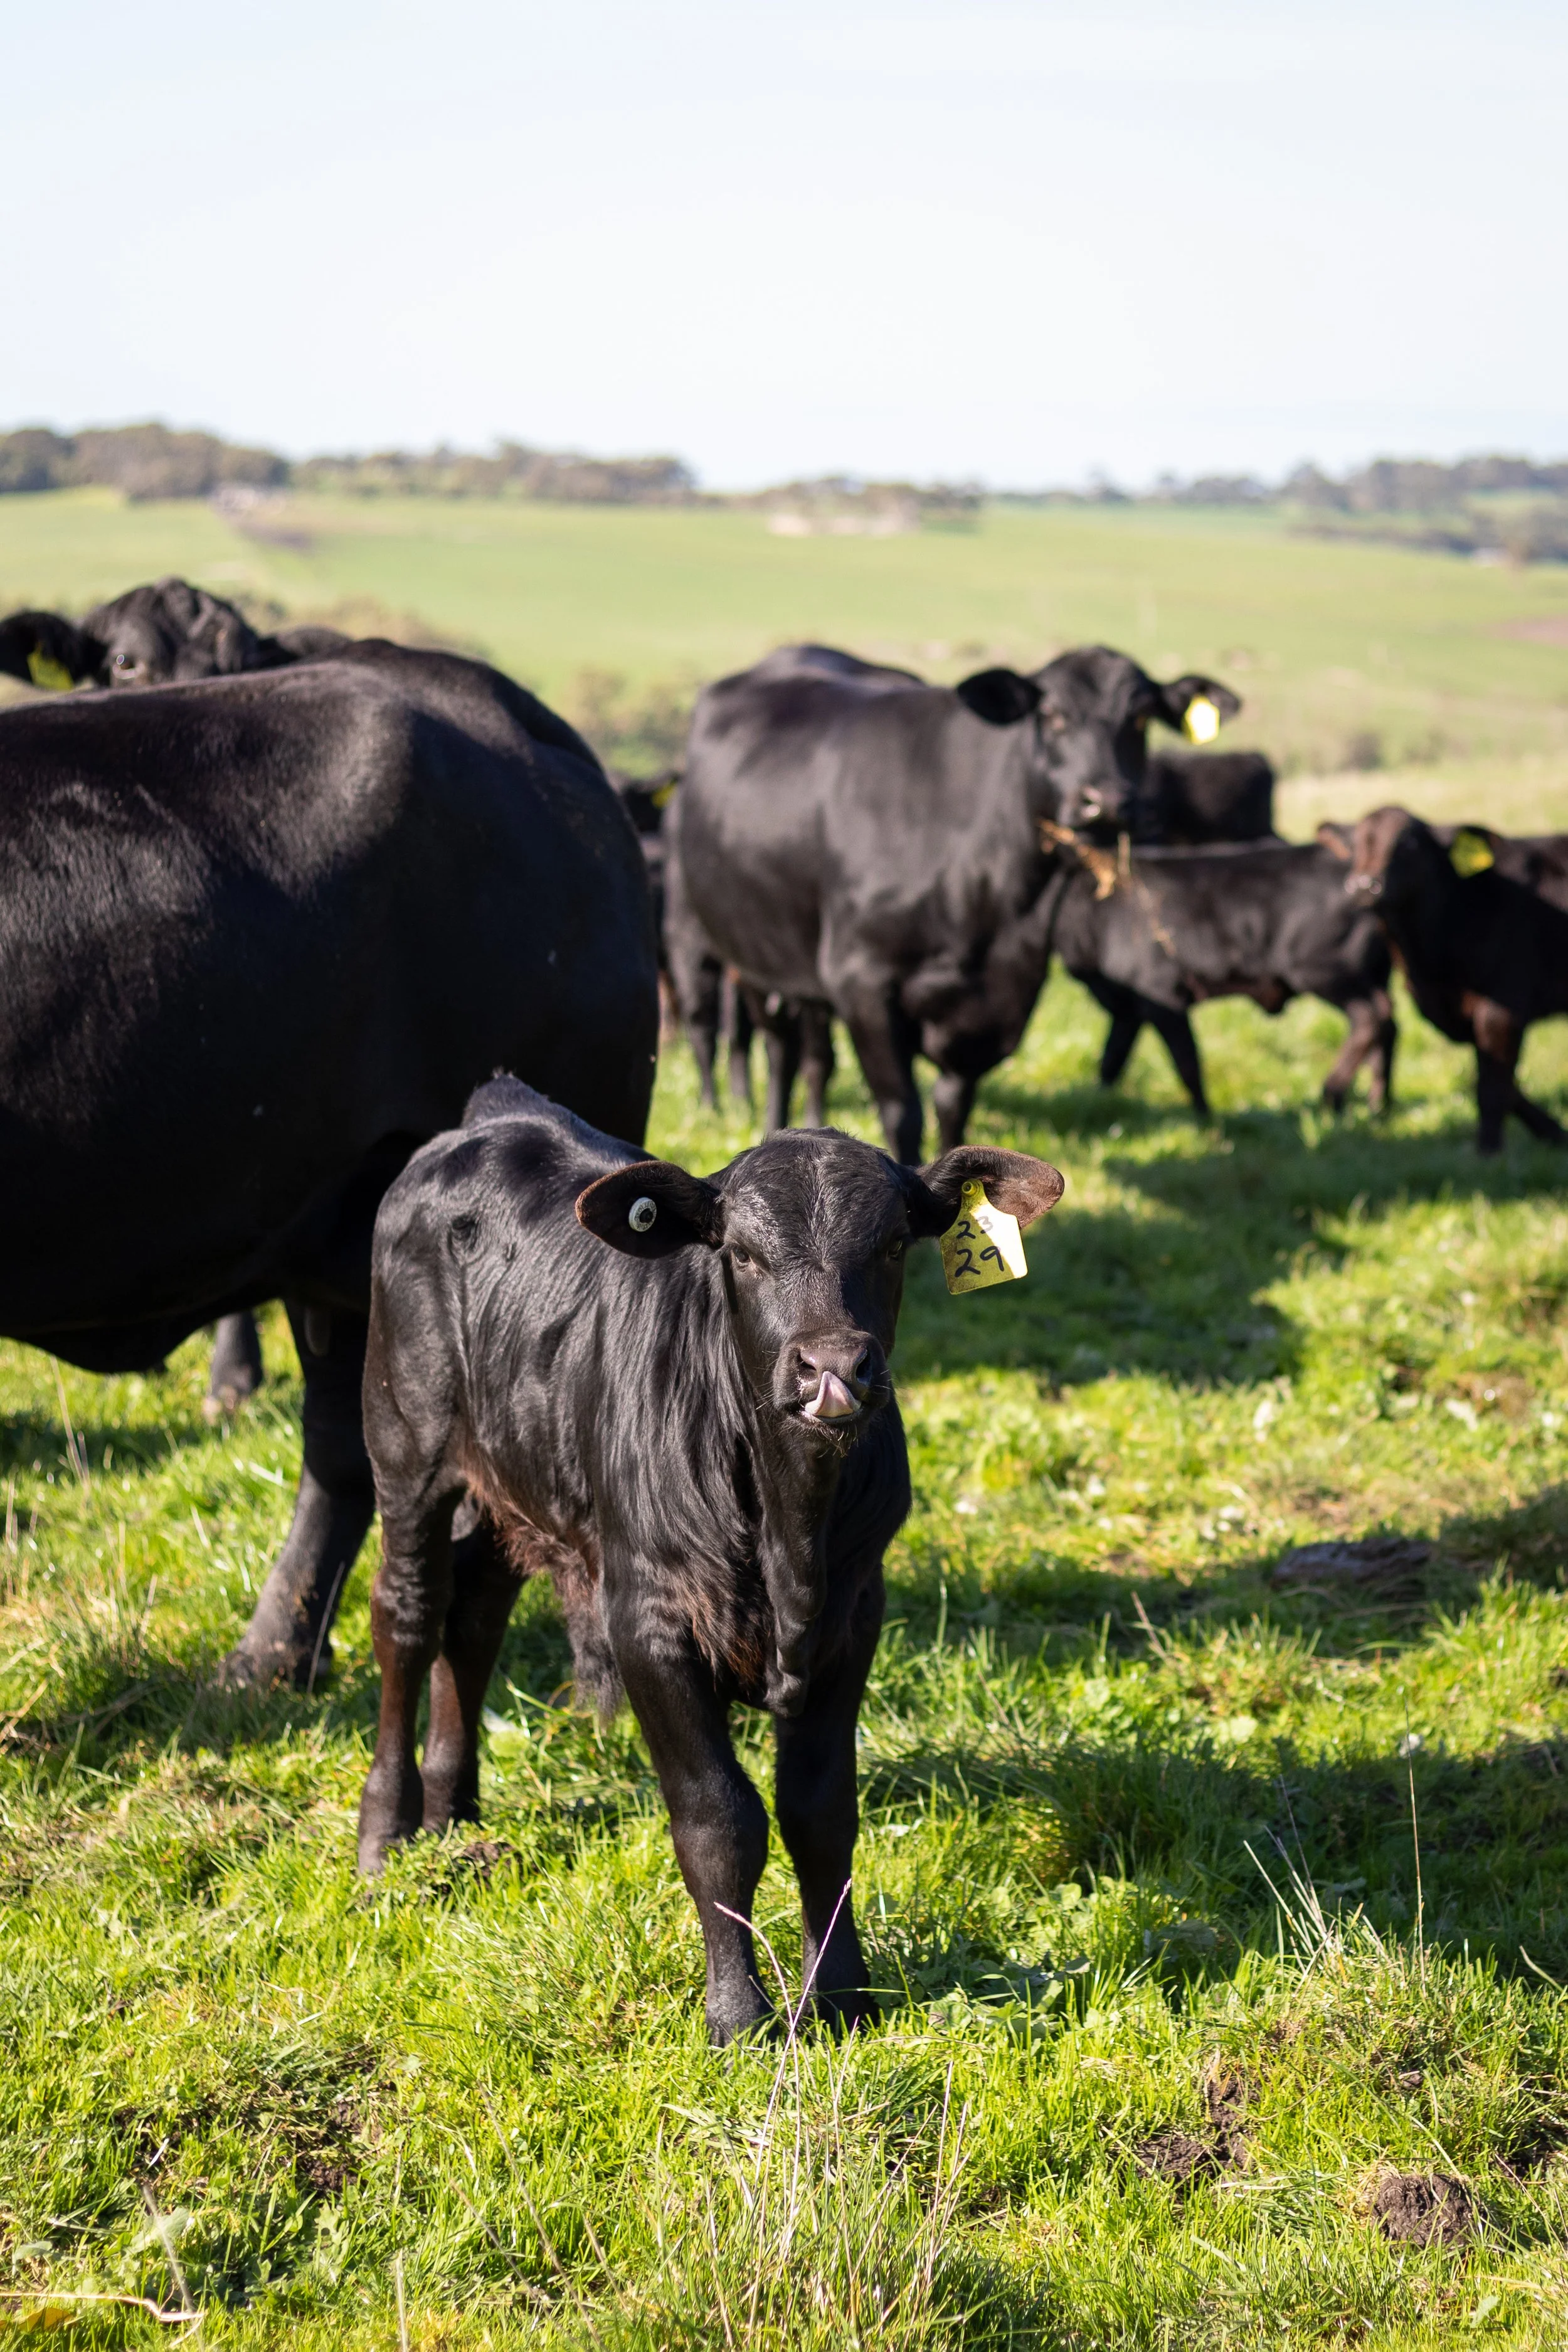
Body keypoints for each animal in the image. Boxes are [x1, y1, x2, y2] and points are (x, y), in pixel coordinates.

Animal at [354, 1076, 1064, 2040]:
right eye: (745, 1254)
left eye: (890, 1245)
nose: (831, 1367)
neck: (787, 1528)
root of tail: (495, 1113)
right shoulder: (649, 1620)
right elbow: (718, 1820)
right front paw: (737, 2012)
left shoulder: (853, 1615)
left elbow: (819, 1813)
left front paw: (841, 1995)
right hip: (405, 1448)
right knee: (409, 1616)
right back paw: (386, 1834)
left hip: (510, 1476)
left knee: (473, 1620)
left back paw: (454, 1814)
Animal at [668, 642, 1245, 1159]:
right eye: (1052, 714)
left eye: (1142, 717)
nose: (1106, 802)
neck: (991, 911)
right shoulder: (862, 983)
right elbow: (902, 1112)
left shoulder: (994, 1003)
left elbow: (954, 1111)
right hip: (740, 952)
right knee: (776, 1049)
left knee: (816, 1058)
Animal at [1047, 837, 1397, 1116]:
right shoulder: (1127, 1008)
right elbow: (1111, 1060)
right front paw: (1097, 1102)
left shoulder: (1163, 993)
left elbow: (1187, 1061)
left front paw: (1206, 1119)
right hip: (1371, 975)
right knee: (1389, 1026)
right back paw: (1378, 1106)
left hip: (1326, 972)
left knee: (1371, 1018)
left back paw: (1331, 1096)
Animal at [1330, 806, 1568, 1152]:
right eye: (1354, 845)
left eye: (1410, 844)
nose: (1364, 885)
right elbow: (1502, 1083)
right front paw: (1555, 1133)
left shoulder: (1503, 1007)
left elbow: (1492, 1087)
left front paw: (1488, 1153)